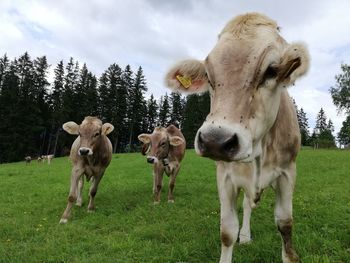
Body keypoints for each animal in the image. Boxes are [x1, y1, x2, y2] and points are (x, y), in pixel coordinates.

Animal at [164, 12, 308, 263]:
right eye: (208, 74)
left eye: (271, 70)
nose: (215, 141)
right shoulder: (224, 176)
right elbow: (227, 231)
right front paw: (236, 236)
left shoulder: (288, 172)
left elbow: (285, 225)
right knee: (248, 205)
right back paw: (245, 235)